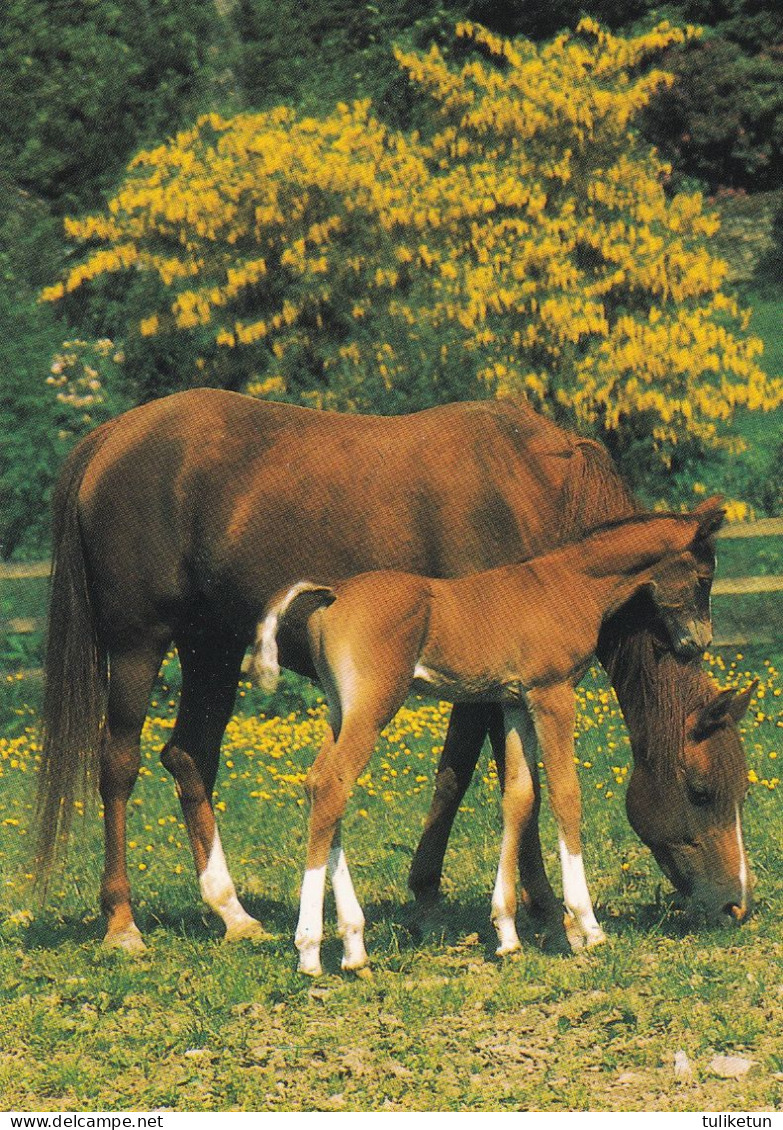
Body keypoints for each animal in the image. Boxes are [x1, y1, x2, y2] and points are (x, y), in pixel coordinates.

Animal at [253, 503, 723, 971]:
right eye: (704, 577)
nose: (699, 642)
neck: (571, 584)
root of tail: (332, 593)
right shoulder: (552, 695)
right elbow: (565, 794)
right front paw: (587, 927)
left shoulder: (514, 704)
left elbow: (519, 797)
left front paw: (507, 933)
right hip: (373, 708)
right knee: (333, 786)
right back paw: (310, 951)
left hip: (340, 709)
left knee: (319, 786)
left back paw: (354, 947)